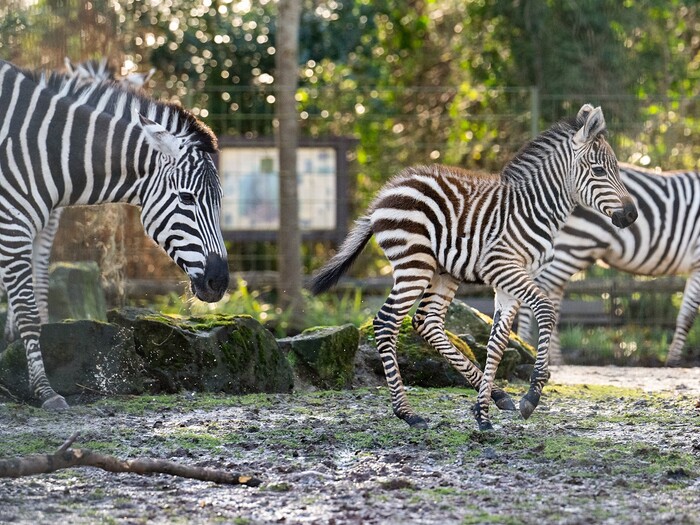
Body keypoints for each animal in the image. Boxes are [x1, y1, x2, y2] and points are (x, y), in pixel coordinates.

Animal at [310, 104, 637, 431]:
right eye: (599, 171)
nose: (632, 215)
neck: (534, 209)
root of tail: (386, 192)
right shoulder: (502, 267)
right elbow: (545, 310)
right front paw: (531, 394)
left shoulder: (510, 278)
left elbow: (498, 341)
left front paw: (483, 411)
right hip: (414, 264)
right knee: (386, 322)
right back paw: (407, 412)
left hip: (442, 271)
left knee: (427, 322)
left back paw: (496, 395)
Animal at [518, 164, 700, 367]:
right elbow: (688, 316)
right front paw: (673, 361)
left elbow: (686, 313)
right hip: (574, 245)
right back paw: (526, 345)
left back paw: (554, 358)